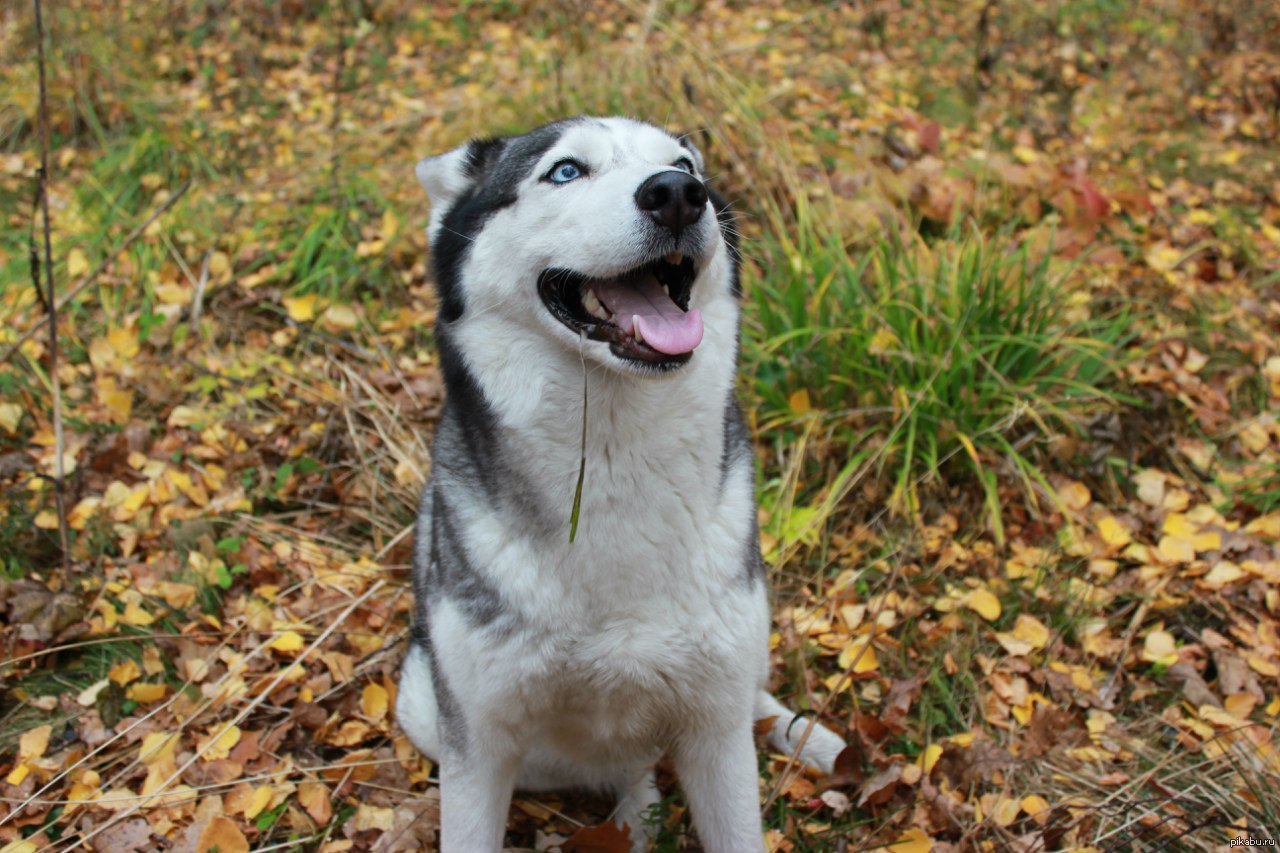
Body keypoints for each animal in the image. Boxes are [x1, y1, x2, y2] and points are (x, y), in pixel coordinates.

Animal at [394, 114, 844, 850]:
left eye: (685, 165)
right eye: (565, 170)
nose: (678, 195)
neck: (613, 455)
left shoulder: (717, 736)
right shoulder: (476, 748)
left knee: (751, 695)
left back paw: (816, 740)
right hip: (421, 703)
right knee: (633, 770)